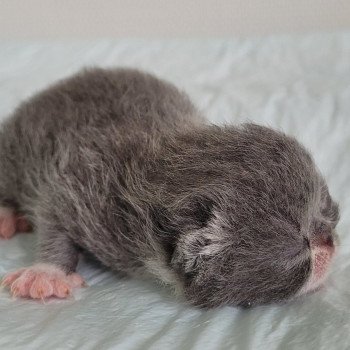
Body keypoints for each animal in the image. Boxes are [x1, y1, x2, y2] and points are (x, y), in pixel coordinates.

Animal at [0, 67, 340, 306]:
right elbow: (52, 218)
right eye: (300, 248)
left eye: (329, 213)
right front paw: (47, 271)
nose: (329, 240)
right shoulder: (76, 185)